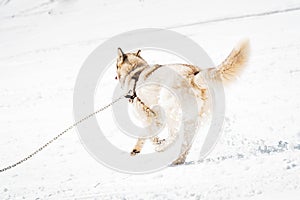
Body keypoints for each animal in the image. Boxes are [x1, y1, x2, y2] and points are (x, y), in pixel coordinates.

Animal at [115, 40, 248, 164]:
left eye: (116, 66)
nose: (115, 76)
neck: (135, 72)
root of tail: (193, 75)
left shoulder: (148, 115)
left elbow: (147, 135)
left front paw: (141, 148)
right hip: (192, 120)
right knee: (186, 144)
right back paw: (177, 161)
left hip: (170, 110)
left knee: (175, 135)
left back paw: (162, 148)